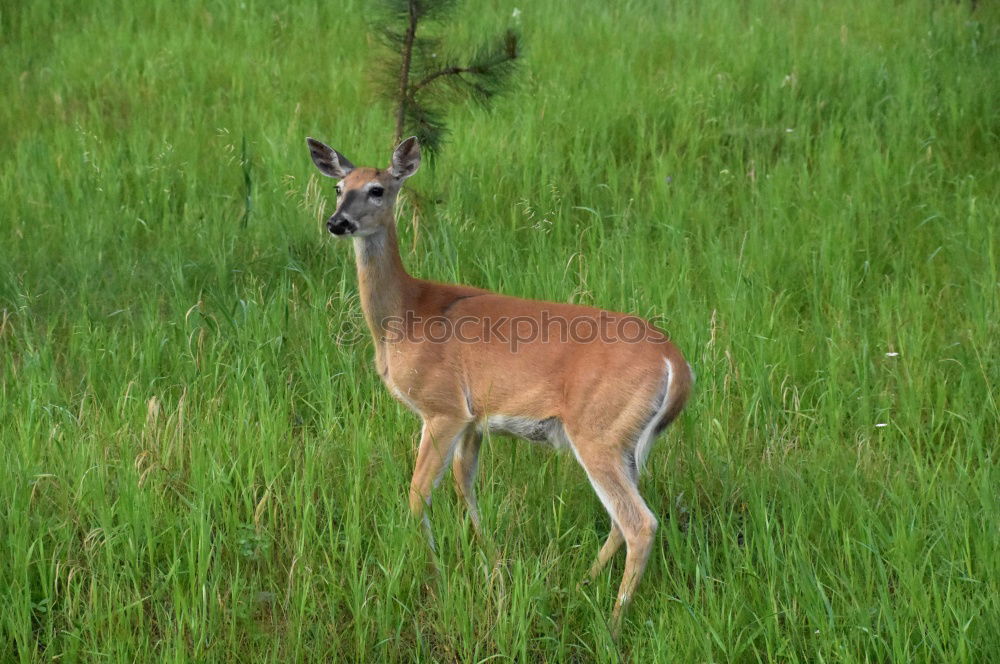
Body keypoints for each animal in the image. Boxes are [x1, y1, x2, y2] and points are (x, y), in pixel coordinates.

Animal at [306, 136, 696, 632]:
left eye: (377, 189)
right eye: (339, 187)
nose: (337, 222)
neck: (406, 316)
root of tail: (676, 365)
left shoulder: (443, 407)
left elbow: (418, 494)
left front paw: (432, 570)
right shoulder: (476, 420)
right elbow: (464, 484)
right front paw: (490, 558)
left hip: (598, 430)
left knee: (640, 523)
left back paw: (610, 623)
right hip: (627, 442)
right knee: (622, 518)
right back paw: (581, 582)